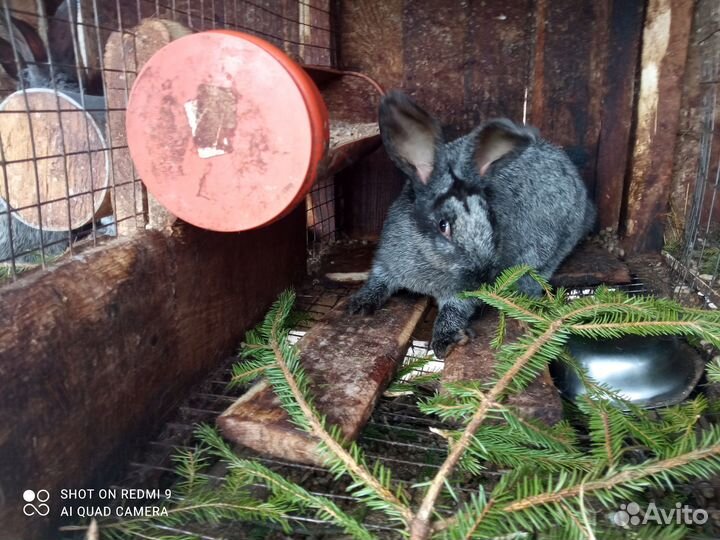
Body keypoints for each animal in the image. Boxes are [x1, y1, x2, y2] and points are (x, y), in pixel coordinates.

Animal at [347, 91, 596, 358]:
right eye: (443, 225)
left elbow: (455, 310)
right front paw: (359, 305)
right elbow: (377, 281)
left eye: (491, 218)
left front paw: (445, 340)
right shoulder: (385, 263)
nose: (483, 277)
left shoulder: (459, 295)